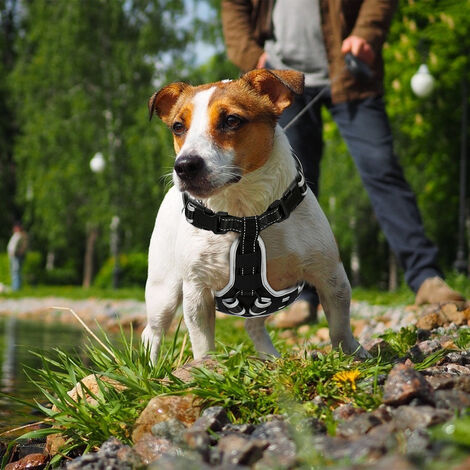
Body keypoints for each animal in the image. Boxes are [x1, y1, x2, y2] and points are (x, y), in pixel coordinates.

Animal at [143, 70, 368, 362]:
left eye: (231, 120)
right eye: (178, 126)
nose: (184, 165)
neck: (245, 214)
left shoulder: (330, 275)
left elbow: (340, 325)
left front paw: (352, 353)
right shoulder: (197, 291)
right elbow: (202, 342)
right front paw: (205, 366)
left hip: (271, 300)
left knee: (253, 325)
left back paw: (269, 356)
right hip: (164, 291)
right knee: (152, 332)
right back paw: (149, 367)